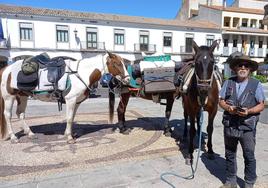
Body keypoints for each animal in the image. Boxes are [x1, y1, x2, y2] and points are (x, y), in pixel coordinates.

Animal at [0, 51, 130, 142]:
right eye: (117, 63)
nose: (128, 79)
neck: (79, 73)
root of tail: (6, 69)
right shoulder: (70, 100)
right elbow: (69, 118)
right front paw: (69, 138)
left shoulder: (76, 102)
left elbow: (71, 117)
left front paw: (69, 134)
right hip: (9, 97)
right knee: (8, 115)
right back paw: (13, 137)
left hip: (22, 96)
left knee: (20, 114)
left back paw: (30, 133)